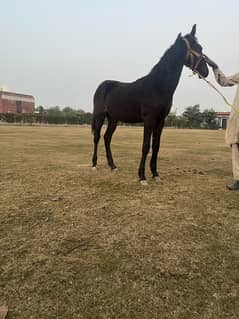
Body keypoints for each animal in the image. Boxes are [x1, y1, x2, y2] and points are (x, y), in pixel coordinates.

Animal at [92, 24, 208, 185]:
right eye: (195, 48)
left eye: (201, 47)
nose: (206, 71)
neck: (157, 86)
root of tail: (103, 85)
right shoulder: (149, 119)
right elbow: (145, 146)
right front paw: (142, 177)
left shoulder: (161, 120)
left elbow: (156, 146)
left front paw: (155, 174)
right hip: (100, 116)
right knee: (97, 137)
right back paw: (94, 165)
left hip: (113, 119)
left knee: (107, 137)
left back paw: (113, 166)